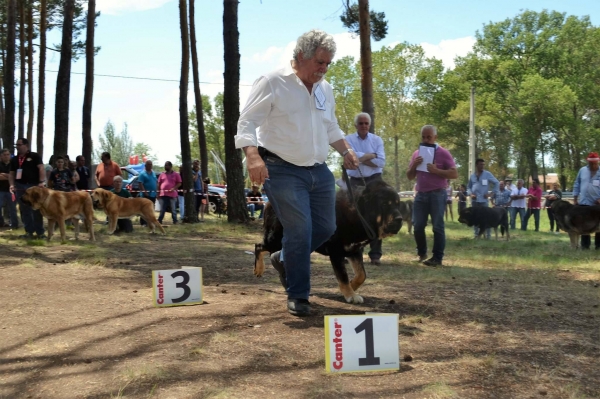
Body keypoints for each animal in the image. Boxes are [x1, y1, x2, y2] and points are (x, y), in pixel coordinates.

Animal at [253, 180, 404, 304]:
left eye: (398, 205)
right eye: (384, 204)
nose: (400, 219)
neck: (357, 215)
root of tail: (268, 203)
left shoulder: (354, 250)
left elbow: (362, 275)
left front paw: (352, 286)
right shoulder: (336, 252)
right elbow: (343, 276)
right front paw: (350, 294)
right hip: (276, 239)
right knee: (259, 246)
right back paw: (259, 269)